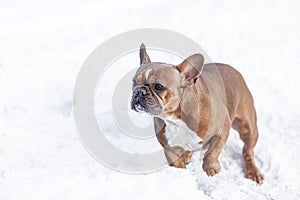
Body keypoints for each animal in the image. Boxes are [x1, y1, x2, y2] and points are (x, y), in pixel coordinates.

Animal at [130, 43, 264, 184]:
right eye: (133, 82)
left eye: (158, 86)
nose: (138, 92)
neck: (177, 118)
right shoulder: (170, 147)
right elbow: (177, 163)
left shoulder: (222, 130)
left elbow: (213, 151)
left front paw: (211, 167)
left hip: (247, 127)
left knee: (247, 150)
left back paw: (253, 171)